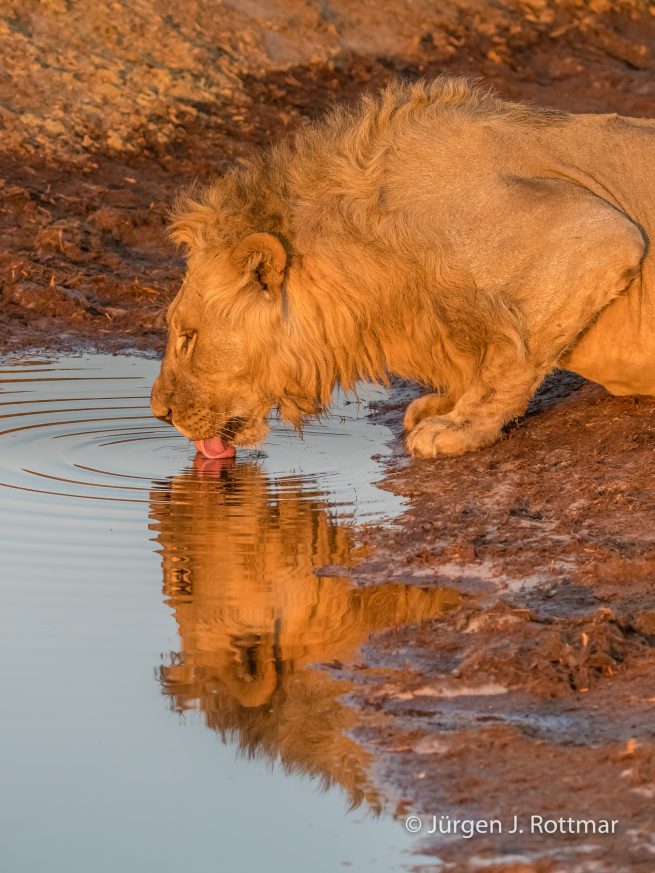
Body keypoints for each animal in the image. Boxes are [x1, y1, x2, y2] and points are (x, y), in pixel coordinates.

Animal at [150, 76, 654, 459]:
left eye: (187, 337)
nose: (160, 414)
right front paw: (442, 405)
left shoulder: (598, 236)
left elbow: (513, 355)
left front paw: (458, 428)